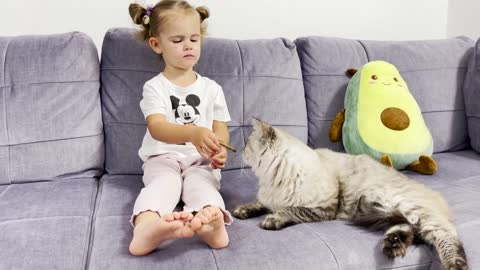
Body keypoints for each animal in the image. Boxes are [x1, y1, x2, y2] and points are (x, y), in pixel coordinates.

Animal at [232, 118, 468, 270]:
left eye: (247, 145)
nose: (239, 151)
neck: (272, 180)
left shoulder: (324, 208)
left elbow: (288, 210)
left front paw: (271, 220)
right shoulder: (267, 199)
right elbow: (257, 204)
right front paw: (242, 211)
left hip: (406, 207)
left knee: (447, 235)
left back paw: (454, 265)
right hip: (392, 211)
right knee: (409, 229)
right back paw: (393, 245)